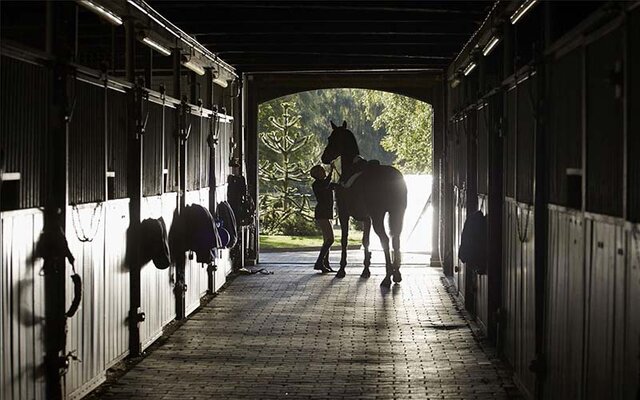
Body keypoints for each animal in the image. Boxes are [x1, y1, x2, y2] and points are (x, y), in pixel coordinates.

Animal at [322, 120, 408, 286]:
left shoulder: (343, 214)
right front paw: (366, 270)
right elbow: (366, 241)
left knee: (385, 240)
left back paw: (387, 277)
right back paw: (396, 274)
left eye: (331, 138)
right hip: (396, 214)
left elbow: (344, 240)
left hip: (378, 217)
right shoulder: (367, 219)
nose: (324, 157)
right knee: (396, 239)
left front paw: (342, 270)